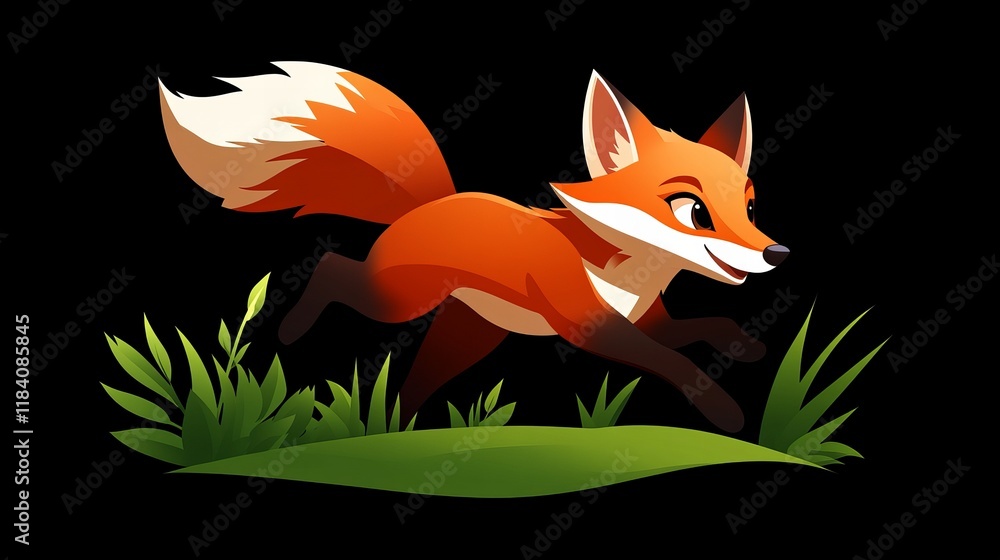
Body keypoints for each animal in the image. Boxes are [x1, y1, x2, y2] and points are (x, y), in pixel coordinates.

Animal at [159, 61, 789, 433]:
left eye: (752, 210)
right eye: (694, 212)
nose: (776, 254)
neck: (625, 272)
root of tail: (430, 202)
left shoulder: (650, 320)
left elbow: (698, 329)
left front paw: (744, 345)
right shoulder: (590, 324)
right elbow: (671, 360)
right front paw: (725, 411)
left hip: (465, 338)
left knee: (410, 391)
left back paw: (398, 438)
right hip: (398, 302)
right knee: (334, 267)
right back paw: (295, 332)